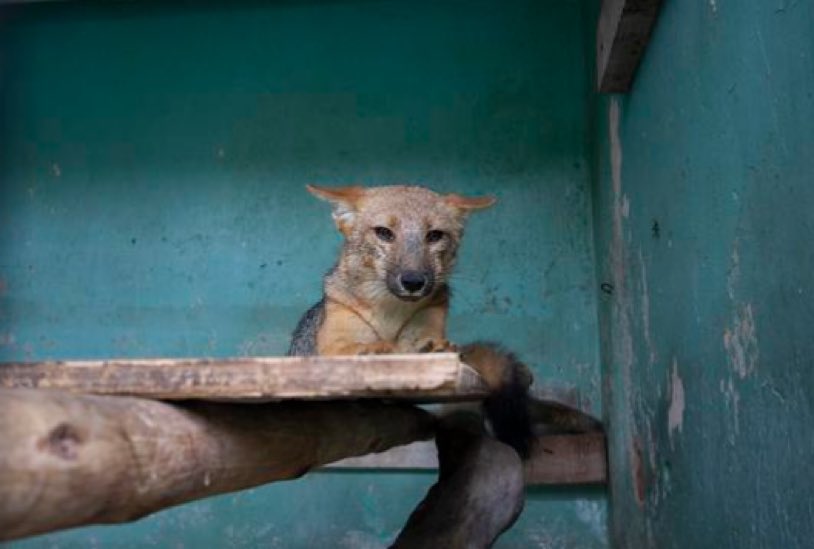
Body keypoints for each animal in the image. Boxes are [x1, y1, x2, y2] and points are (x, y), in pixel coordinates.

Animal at [287, 184, 535, 456]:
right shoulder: (331, 347)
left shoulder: (425, 332)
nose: (413, 281)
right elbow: (358, 347)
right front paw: (374, 349)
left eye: (434, 235)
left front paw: (433, 349)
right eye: (384, 233)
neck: (390, 314)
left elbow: (424, 345)